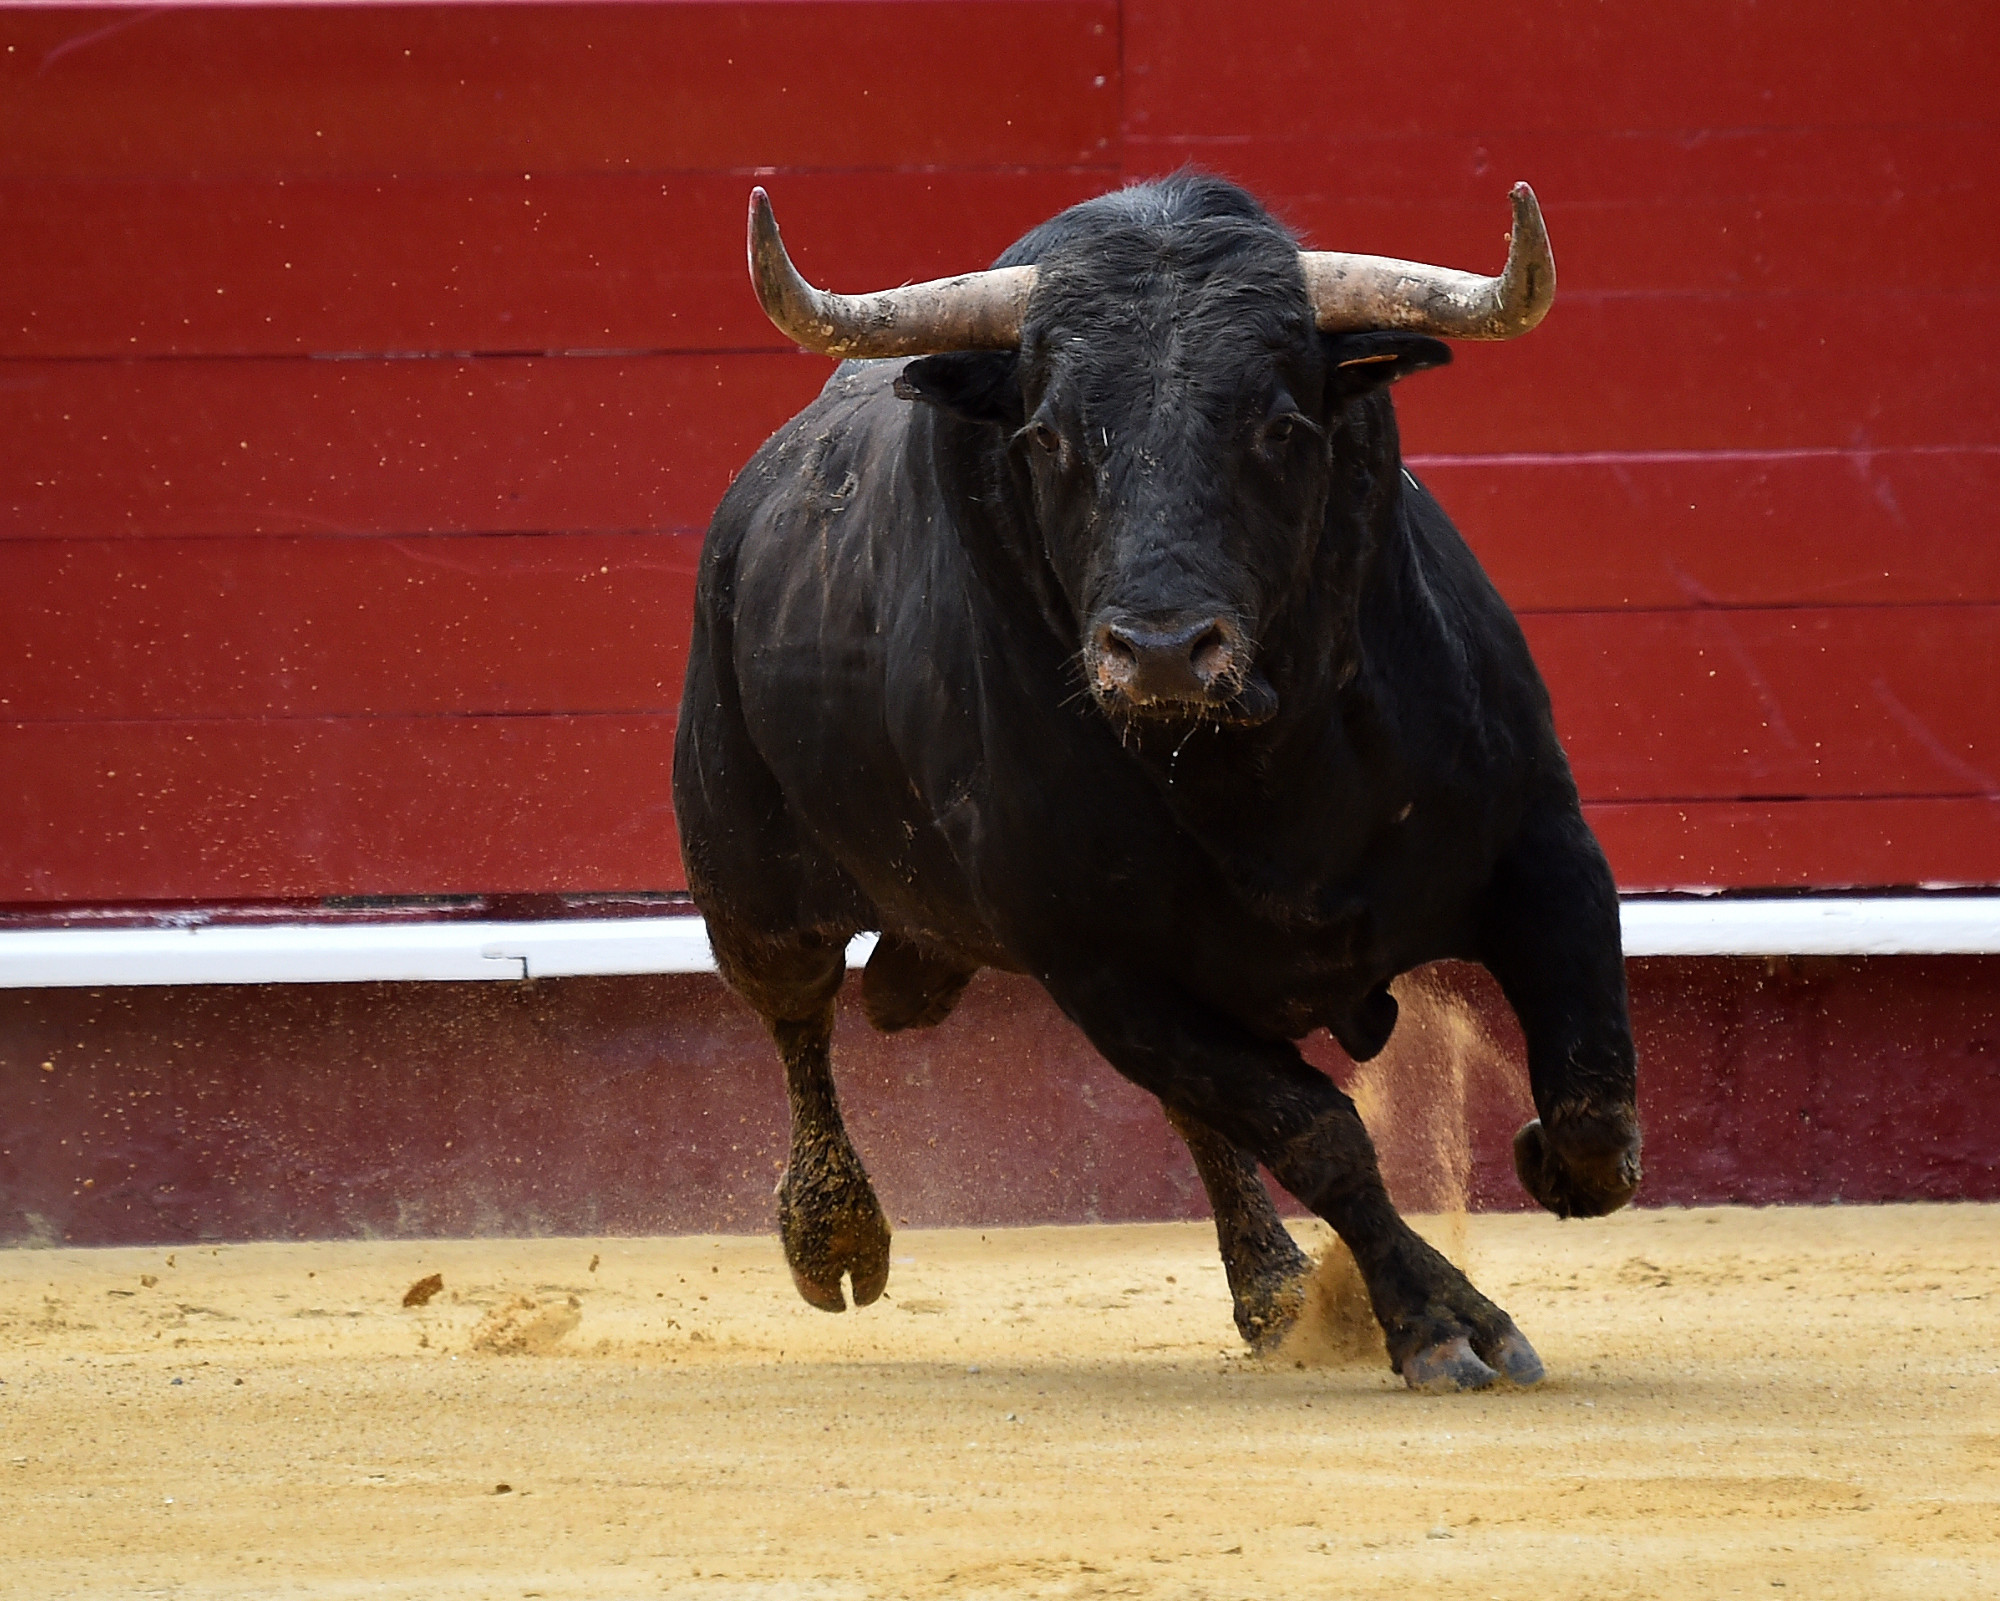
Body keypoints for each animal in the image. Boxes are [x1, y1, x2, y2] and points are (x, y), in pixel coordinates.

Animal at [673, 174, 1642, 1393]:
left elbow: (1590, 1098)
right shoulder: (1100, 963)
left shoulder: (1545, 844)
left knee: (1193, 1115)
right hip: (750, 882)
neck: (1258, 767)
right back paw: (835, 1239)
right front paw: (1438, 1319)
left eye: (1283, 426)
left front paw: (1538, 1165)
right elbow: (1316, 1130)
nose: (1166, 651)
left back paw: (1272, 1287)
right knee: (798, 1019)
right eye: (1044, 437)